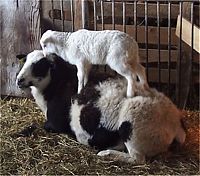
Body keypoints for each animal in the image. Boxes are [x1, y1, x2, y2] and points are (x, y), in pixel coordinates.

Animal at [15, 50, 186, 164]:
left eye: (39, 65)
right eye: (24, 61)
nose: (19, 80)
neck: (56, 85)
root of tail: (175, 122)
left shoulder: (55, 123)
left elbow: (43, 126)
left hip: (133, 126)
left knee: (138, 159)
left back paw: (106, 153)